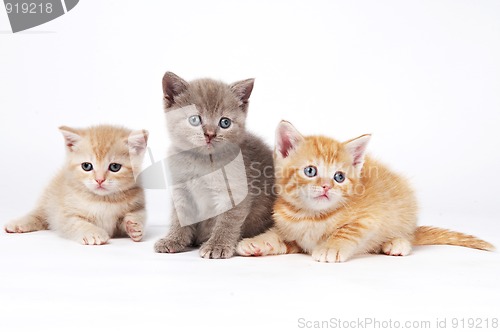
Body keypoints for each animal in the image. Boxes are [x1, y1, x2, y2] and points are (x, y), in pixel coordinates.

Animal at [4, 124, 148, 244]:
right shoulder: (64, 214)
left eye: (115, 167)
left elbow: (139, 214)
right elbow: (77, 223)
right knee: (39, 214)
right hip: (49, 201)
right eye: (87, 166)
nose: (99, 180)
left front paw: (135, 227)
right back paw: (17, 224)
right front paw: (93, 233)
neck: (103, 199)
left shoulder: (137, 204)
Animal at [154, 72, 276, 260]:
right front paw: (173, 239)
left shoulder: (236, 192)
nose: (210, 134)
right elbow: (179, 217)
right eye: (195, 119)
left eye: (225, 122)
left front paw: (217, 245)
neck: (202, 162)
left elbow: (227, 220)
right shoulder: (181, 191)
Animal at [236, 120, 494, 264]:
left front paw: (330, 248)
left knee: (407, 235)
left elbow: (347, 231)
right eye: (310, 171)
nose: (327, 186)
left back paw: (397, 243)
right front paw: (256, 243)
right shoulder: (292, 235)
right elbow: (275, 237)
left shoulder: (369, 218)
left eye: (339, 177)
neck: (310, 216)